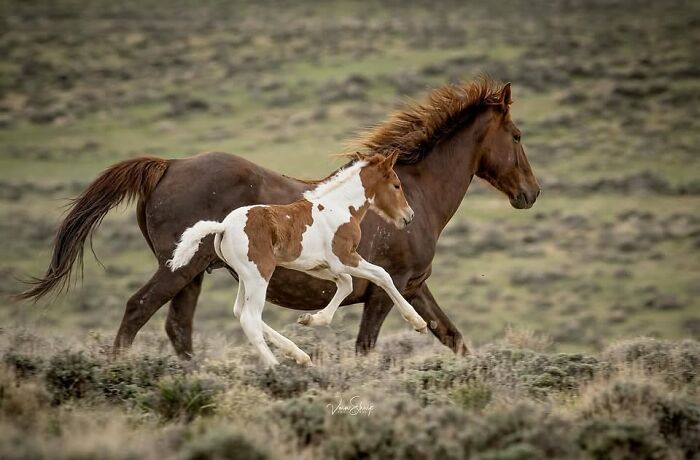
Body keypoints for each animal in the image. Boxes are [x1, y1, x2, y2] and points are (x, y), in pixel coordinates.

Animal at [167, 151, 427, 366]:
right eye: (396, 185)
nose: (409, 216)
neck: (340, 207)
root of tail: (223, 227)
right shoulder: (345, 258)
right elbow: (382, 275)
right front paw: (418, 323)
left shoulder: (320, 266)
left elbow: (346, 284)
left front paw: (310, 319)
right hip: (259, 274)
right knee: (250, 318)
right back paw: (277, 368)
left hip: (244, 276)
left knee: (240, 311)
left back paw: (299, 355)